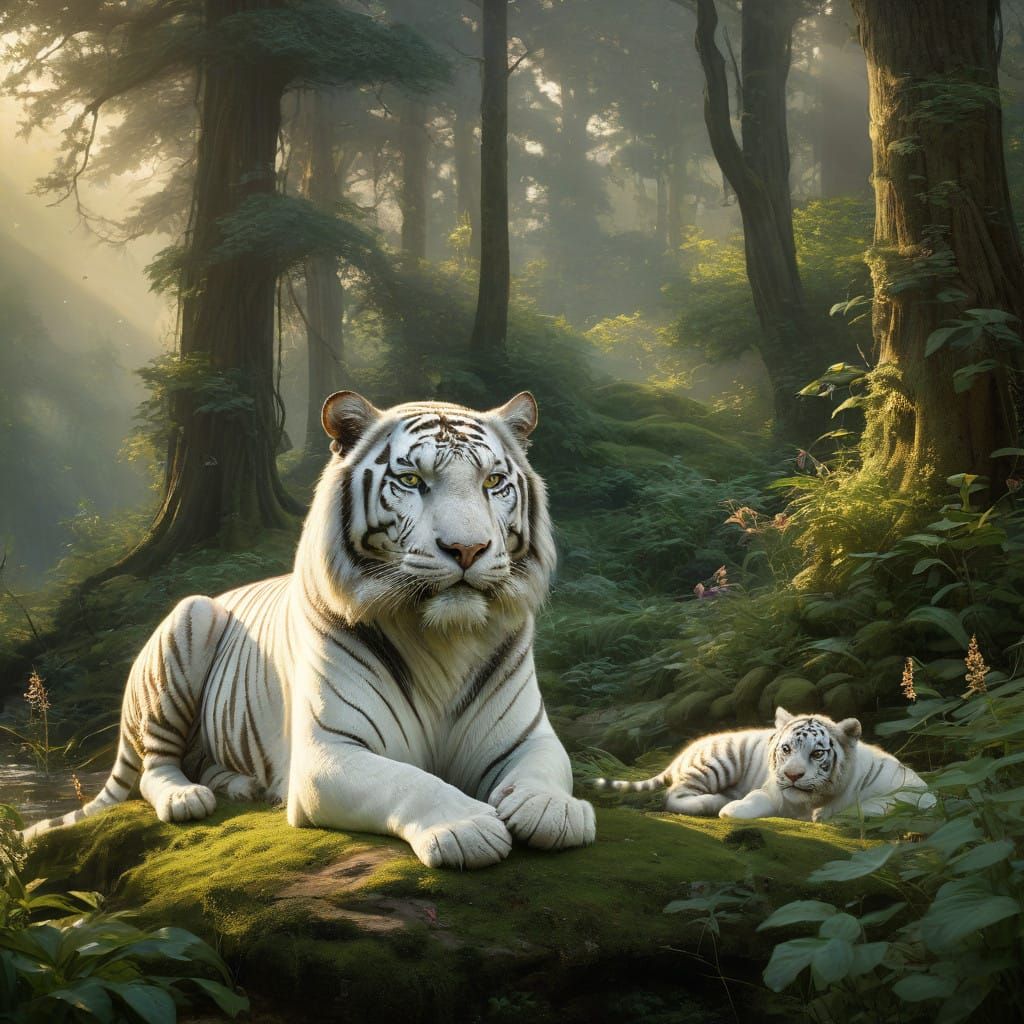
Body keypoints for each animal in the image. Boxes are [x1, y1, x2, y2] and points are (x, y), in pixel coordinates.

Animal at [24, 390, 596, 869]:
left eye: (492, 483)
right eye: (412, 481)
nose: (468, 549)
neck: (443, 638)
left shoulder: (527, 736)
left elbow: (546, 769)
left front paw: (553, 809)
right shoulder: (330, 753)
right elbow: (411, 780)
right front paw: (468, 825)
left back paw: (241, 786)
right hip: (189, 622)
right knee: (153, 767)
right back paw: (188, 796)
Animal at [594, 707, 935, 821]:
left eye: (817, 754)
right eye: (786, 749)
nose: (793, 775)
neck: (809, 801)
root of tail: (684, 751)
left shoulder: (921, 792)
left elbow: (882, 804)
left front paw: (827, 815)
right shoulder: (772, 790)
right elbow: (755, 801)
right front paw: (730, 810)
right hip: (719, 762)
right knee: (674, 794)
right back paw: (715, 801)